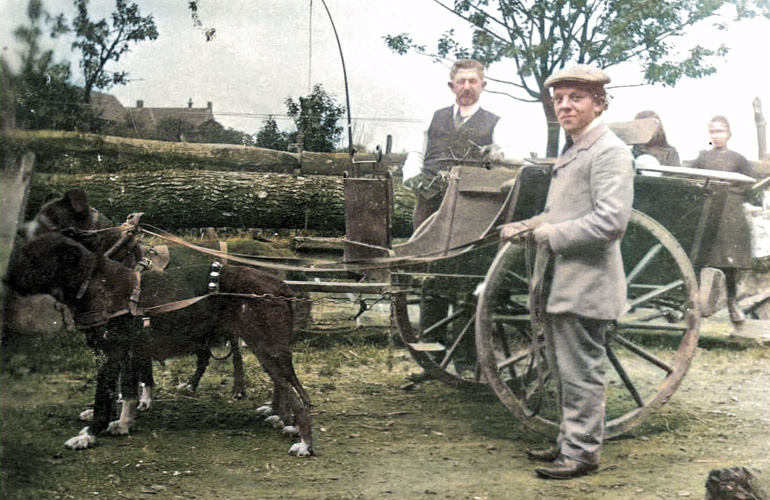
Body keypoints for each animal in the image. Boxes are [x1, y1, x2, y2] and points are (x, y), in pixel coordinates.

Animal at [5, 232, 312, 456]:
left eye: (32, 257)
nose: (5, 279)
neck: (94, 282)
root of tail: (278, 285)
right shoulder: (128, 354)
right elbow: (129, 392)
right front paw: (124, 423)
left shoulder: (110, 356)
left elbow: (104, 399)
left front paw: (90, 435)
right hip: (267, 351)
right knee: (286, 387)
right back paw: (279, 416)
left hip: (267, 348)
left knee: (299, 397)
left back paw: (304, 442)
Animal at [24, 188, 246, 402]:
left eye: (50, 224)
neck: (117, 257)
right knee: (204, 354)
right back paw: (191, 384)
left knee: (236, 354)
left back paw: (238, 389)